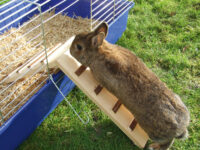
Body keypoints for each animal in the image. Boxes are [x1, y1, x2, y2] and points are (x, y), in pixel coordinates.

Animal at [69, 22, 190, 150]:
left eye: (79, 47)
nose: (70, 50)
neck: (99, 53)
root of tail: (181, 128)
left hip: (154, 132)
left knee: (167, 142)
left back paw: (153, 146)